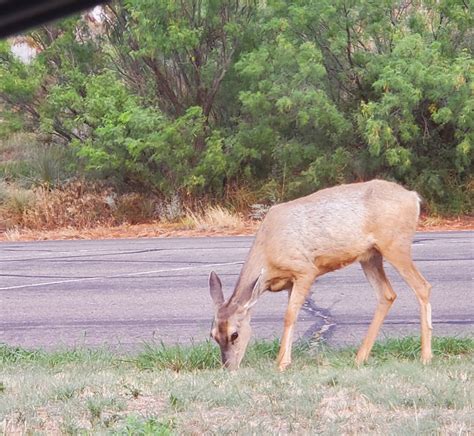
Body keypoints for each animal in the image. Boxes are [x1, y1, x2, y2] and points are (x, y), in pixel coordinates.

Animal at [209, 181, 432, 372]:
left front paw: (281, 363)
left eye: (235, 334)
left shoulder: (305, 269)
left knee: (422, 286)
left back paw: (426, 357)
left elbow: (289, 315)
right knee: (387, 294)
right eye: (213, 335)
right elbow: (292, 315)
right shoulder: (290, 282)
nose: (229, 367)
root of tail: (413, 197)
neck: (268, 253)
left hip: (395, 244)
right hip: (370, 256)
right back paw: (360, 357)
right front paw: (284, 360)